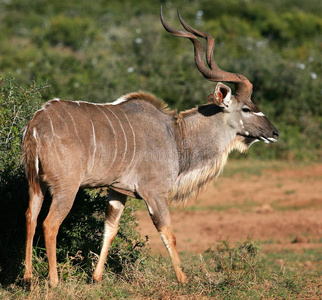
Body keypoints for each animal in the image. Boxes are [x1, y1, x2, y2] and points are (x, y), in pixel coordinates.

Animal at [21, 8, 278, 286]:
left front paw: (97, 278)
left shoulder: (117, 190)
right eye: (247, 109)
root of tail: (36, 124)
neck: (176, 136)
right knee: (50, 223)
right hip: (66, 187)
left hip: (36, 185)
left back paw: (27, 277)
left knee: (30, 216)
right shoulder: (155, 192)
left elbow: (110, 229)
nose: (274, 133)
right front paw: (183, 279)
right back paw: (54, 281)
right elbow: (168, 233)